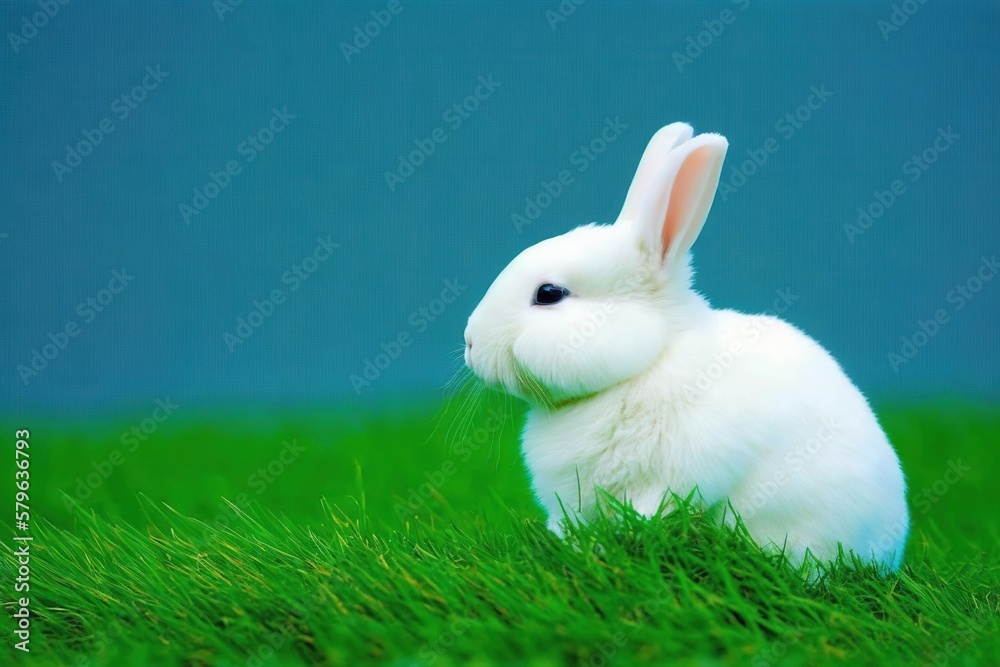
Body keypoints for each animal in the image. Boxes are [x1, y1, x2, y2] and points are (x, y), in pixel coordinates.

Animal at [464, 124, 912, 568]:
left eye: (549, 294)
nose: (469, 341)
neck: (646, 362)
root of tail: (891, 547)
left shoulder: (677, 473)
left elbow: (648, 511)